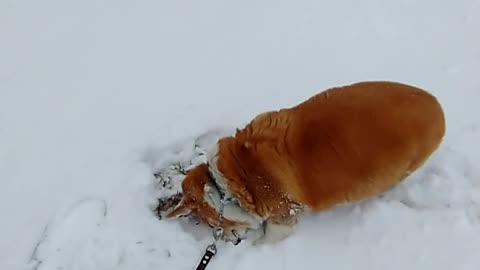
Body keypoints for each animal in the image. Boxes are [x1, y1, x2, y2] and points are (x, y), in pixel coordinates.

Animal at [158, 80, 446, 245]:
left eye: (209, 225)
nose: (235, 242)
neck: (226, 185)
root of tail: (438, 107)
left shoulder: (284, 217)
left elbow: (269, 238)